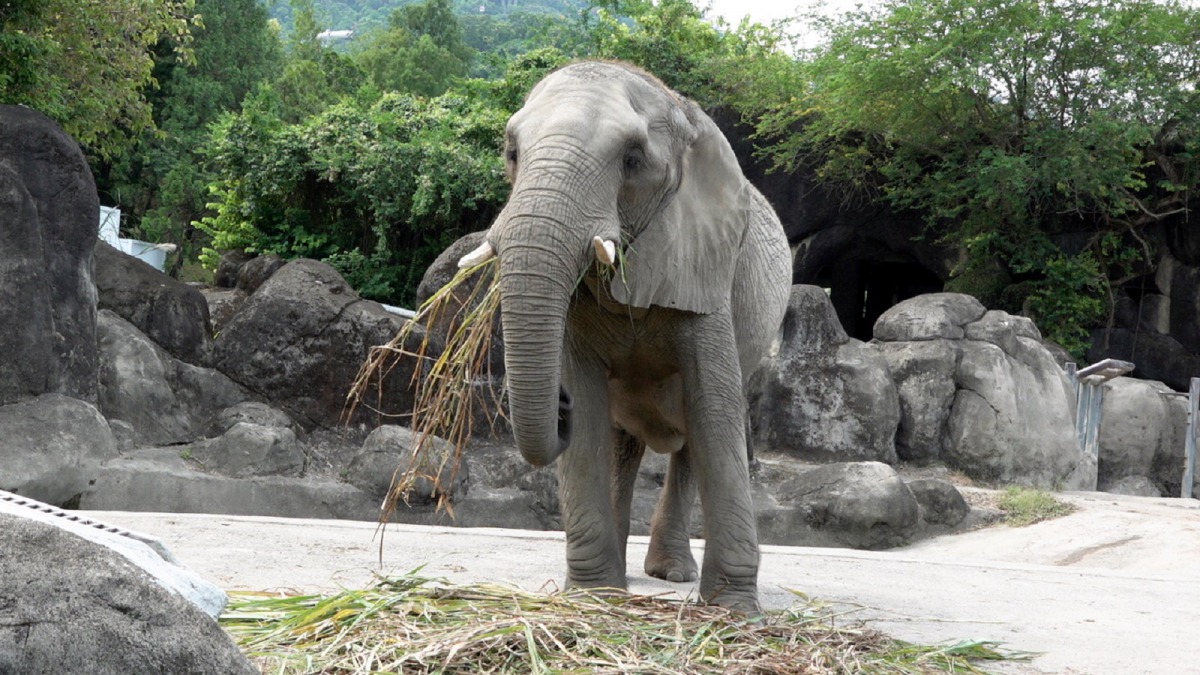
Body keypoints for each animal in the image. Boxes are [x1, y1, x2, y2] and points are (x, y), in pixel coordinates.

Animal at [457, 61, 792, 612]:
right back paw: (623, 581)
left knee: (690, 437)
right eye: (512, 154)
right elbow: (590, 410)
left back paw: (671, 574)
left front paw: (733, 611)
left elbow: (715, 410)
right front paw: (594, 596)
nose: (559, 407)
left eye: (632, 161)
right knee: (620, 442)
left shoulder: (705, 265)